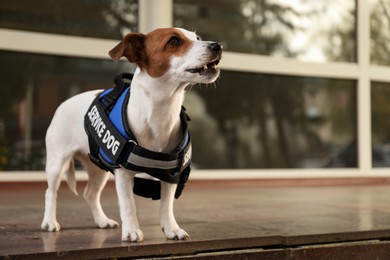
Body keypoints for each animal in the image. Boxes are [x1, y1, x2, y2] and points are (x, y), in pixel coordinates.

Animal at [40, 28, 222, 242]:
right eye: (174, 40)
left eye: (197, 38)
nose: (217, 46)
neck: (160, 113)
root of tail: (63, 104)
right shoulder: (123, 174)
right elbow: (128, 205)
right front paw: (132, 231)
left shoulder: (171, 175)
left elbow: (167, 205)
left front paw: (171, 229)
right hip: (56, 164)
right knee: (50, 192)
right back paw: (49, 222)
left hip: (98, 170)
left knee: (90, 194)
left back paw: (102, 221)